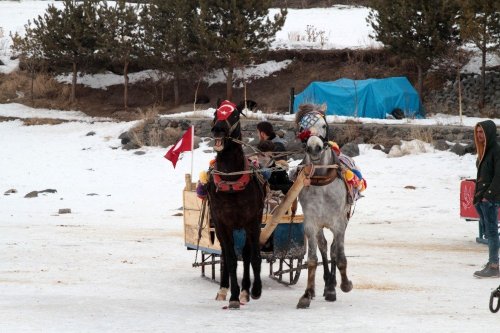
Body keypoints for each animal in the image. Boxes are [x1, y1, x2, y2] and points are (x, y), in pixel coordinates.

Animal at [207, 99, 268, 308]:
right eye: (216, 113)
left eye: (234, 115)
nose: (218, 128)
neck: (231, 181)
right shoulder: (222, 224)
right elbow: (231, 259)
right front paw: (233, 295)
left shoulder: (253, 222)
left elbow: (254, 257)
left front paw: (254, 290)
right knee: (225, 255)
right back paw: (224, 289)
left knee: (247, 254)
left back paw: (246, 290)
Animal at [294, 104, 354, 308]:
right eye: (302, 129)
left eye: (324, 126)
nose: (314, 148)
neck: (321, 181)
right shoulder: (311, 223)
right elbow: (313, 259)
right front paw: (306, 294)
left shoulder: (339, 223)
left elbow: (340, 256)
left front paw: (344, 285)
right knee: (324, 246)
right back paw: (324, 284)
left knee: (334, 249)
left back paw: (331, 286)